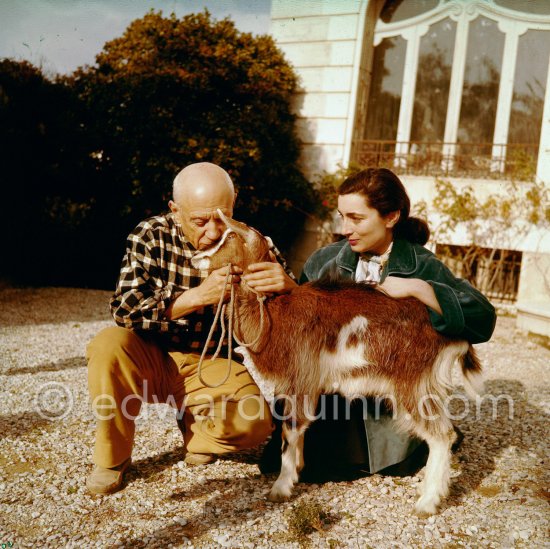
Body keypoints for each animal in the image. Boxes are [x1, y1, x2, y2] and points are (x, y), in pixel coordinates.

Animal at [192, 212, 486, 516]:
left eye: (231, 235)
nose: (196, 257)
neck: (276, 313)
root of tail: (452, 335)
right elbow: (294, 431)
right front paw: (297, 469)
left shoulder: (301, 378)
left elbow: (292, 429)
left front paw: (281, 487)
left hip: (412, 385)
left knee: (442, 436)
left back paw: (427, 502)